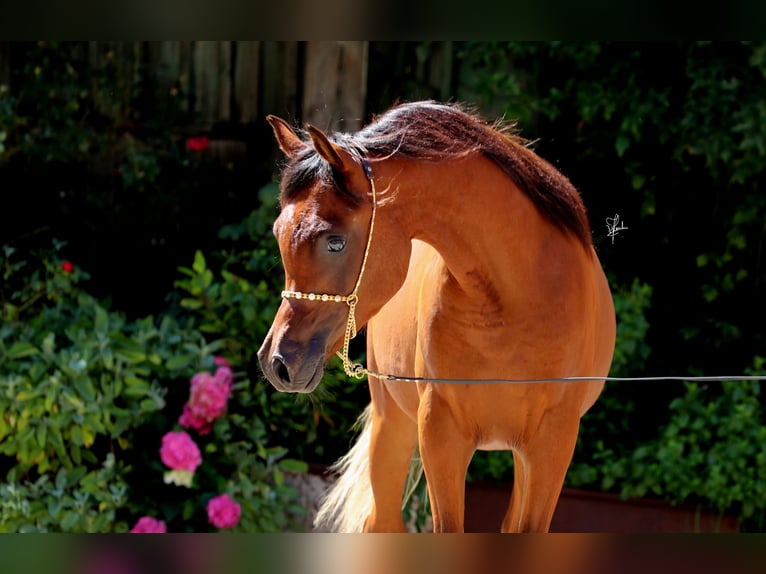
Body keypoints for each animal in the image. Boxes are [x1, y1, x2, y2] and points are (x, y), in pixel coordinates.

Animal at [258, 100, 616, 536]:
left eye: (335, 241)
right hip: (392, 424)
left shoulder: (553, 441)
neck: (516, 295)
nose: (276, 362)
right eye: (278, 232)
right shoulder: (440, 432)